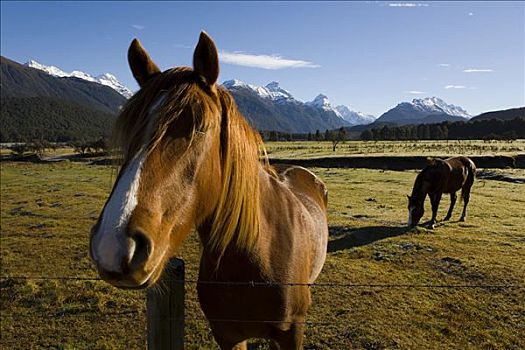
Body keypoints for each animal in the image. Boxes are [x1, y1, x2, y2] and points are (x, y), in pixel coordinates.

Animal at [89, 31, 328, 348]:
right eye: (130, 131)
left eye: (200, 127)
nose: (113, 246)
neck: (255, 254)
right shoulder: (226, 335)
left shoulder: (292, 333)